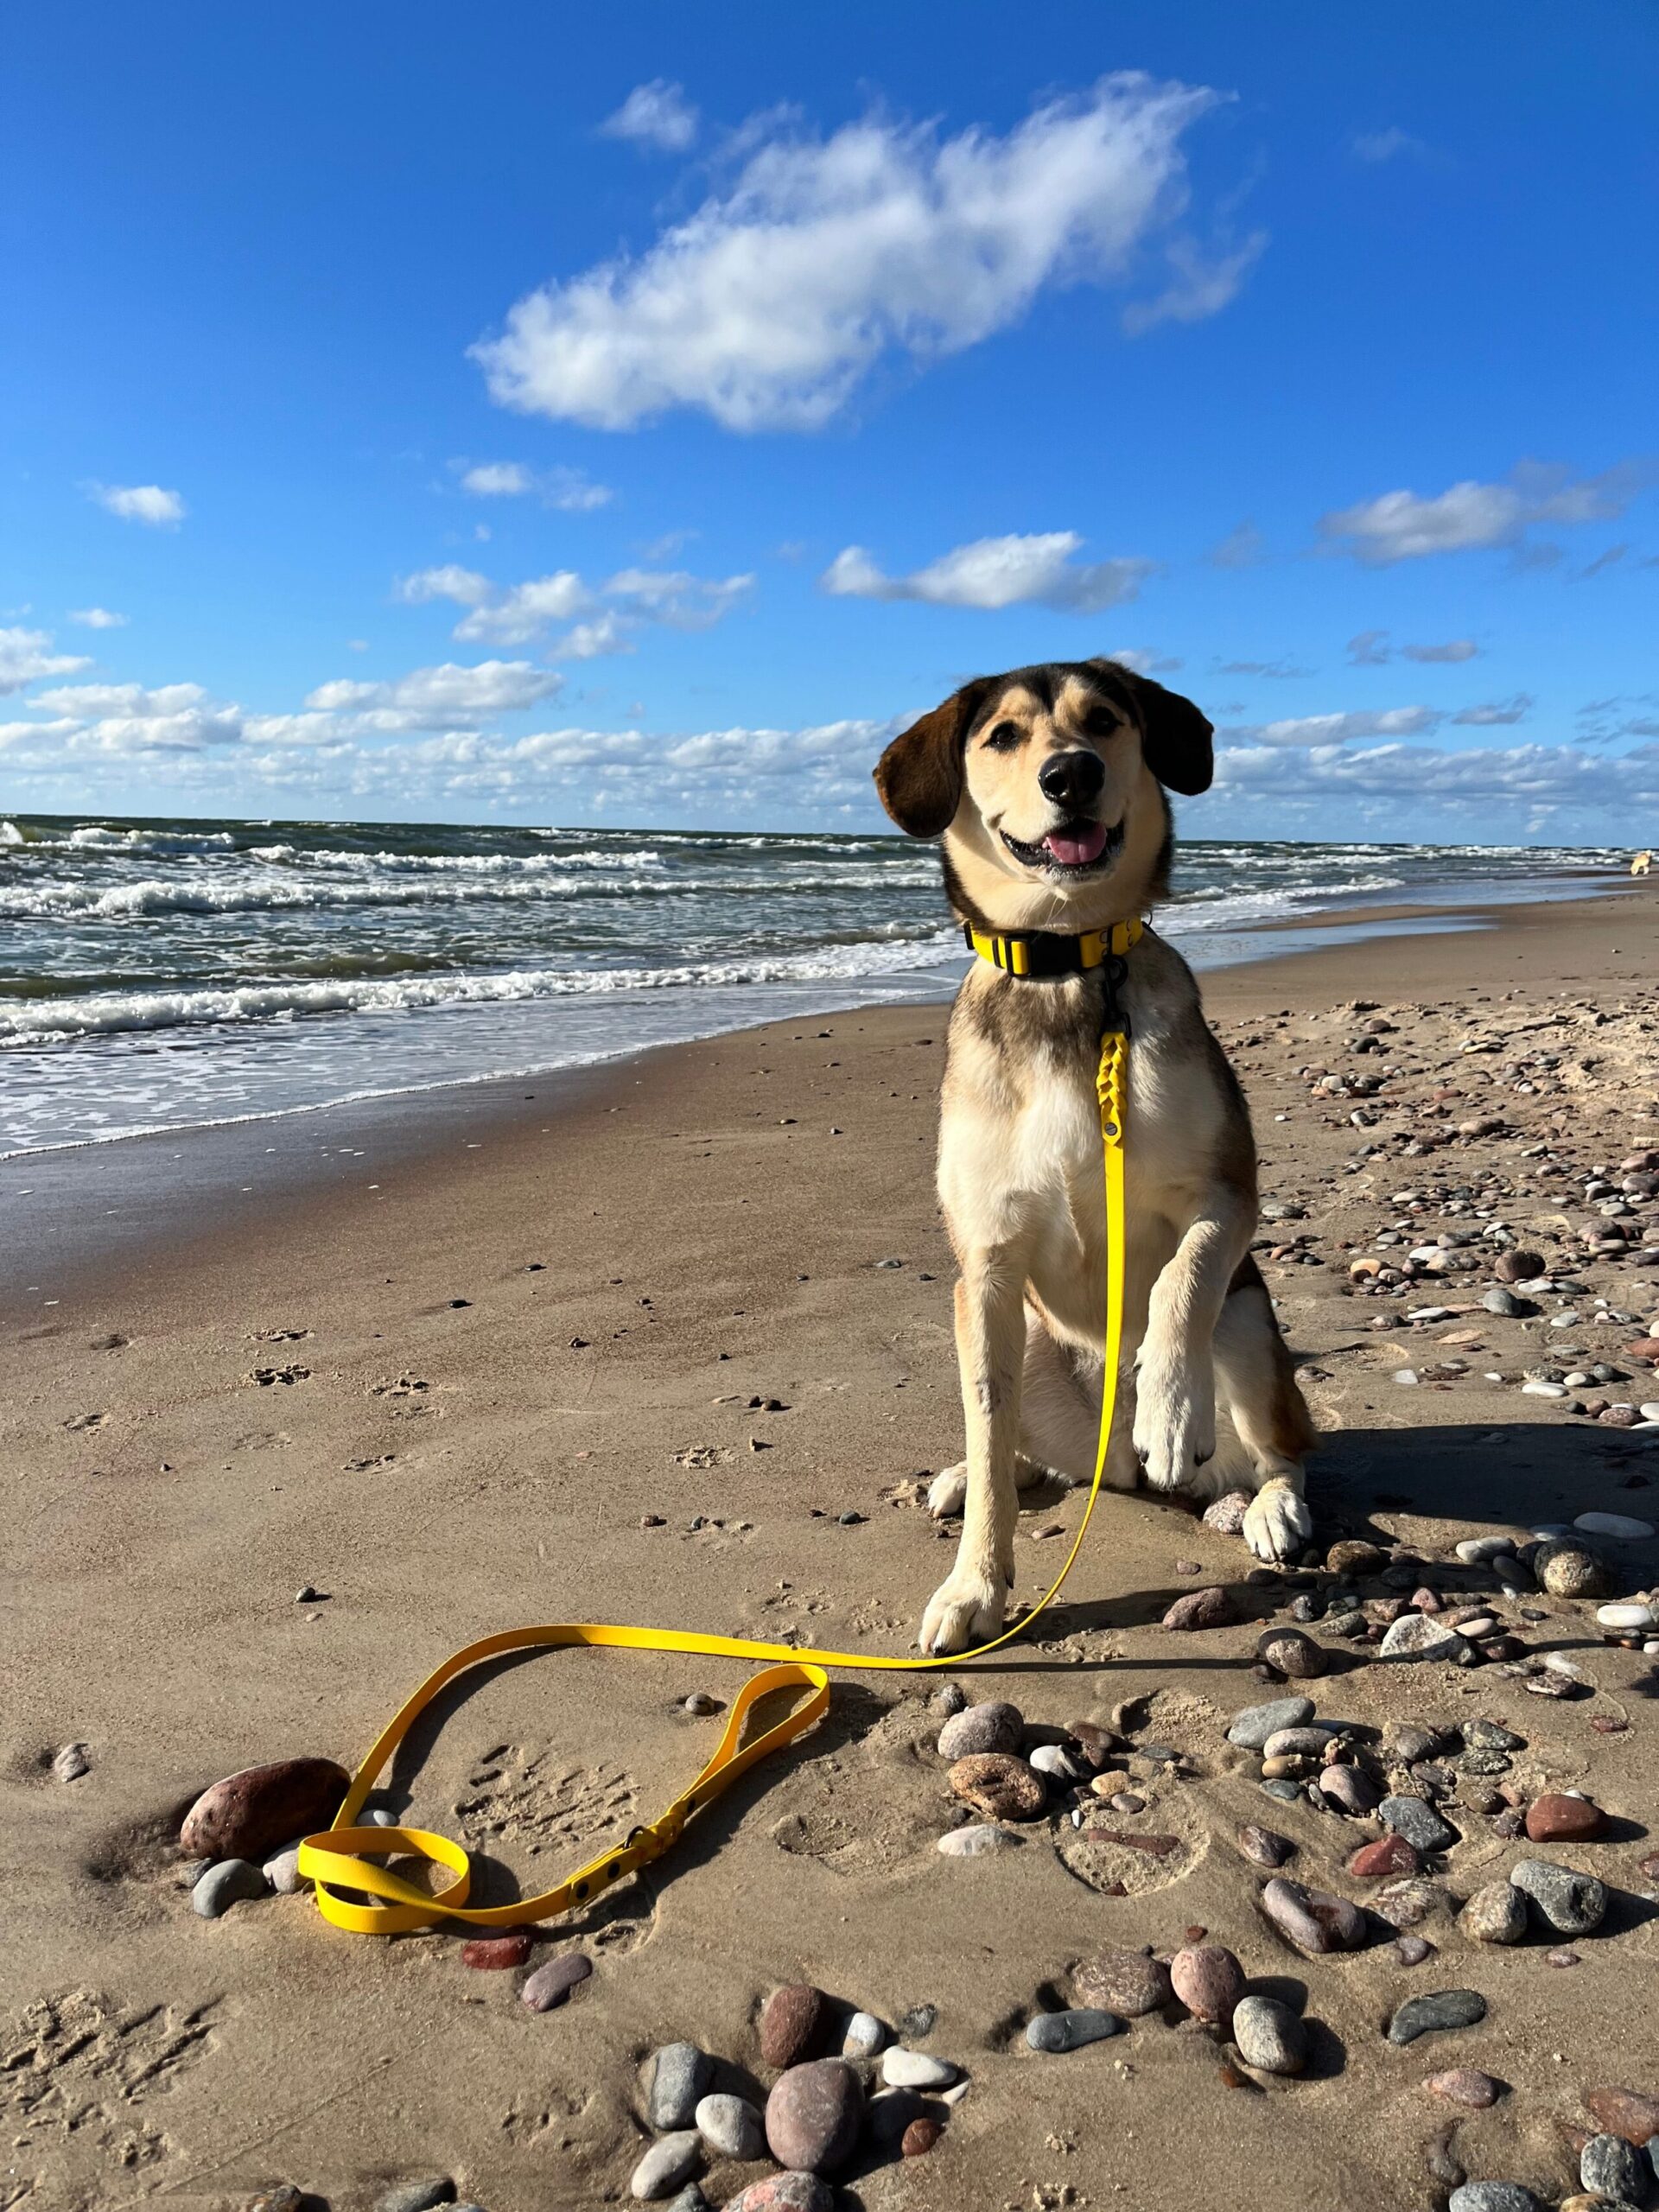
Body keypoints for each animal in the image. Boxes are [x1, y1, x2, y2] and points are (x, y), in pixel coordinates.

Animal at [874, 657, 1316, 1655]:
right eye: (1001, 736)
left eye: (1105, 720)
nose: (1070, 774)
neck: (1068, 964)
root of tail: (1117, 1467)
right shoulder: (986, 1268)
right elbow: (988, 1427)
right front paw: (974, 1584)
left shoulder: (1228, 1193)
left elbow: (1179, 1282)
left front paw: (1169, 1403)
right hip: (1027, 1343)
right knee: (1026, 1450)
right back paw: (980, 1474)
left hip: (1251, 1327)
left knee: (1287, 1450)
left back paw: (1264, 1501)